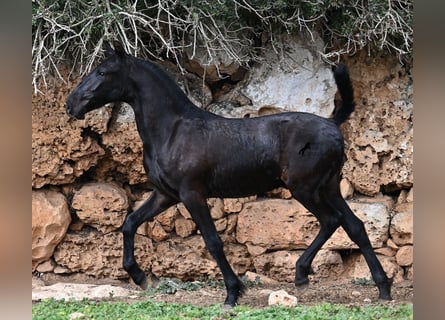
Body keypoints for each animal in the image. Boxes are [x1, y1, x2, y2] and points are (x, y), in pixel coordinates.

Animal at [66, 41, 392, 306]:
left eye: (102, 72)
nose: (71, 104)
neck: (172, 131)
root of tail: (333, 123)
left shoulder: (192, 194)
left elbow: (213, 241)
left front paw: (233, 293)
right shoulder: (165, 194)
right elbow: (130, 223)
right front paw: (139, 276)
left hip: (305, 188)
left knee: (332, 220)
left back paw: (302, 275)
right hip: (329, 187)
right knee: (355, 226)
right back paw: (382, 288)